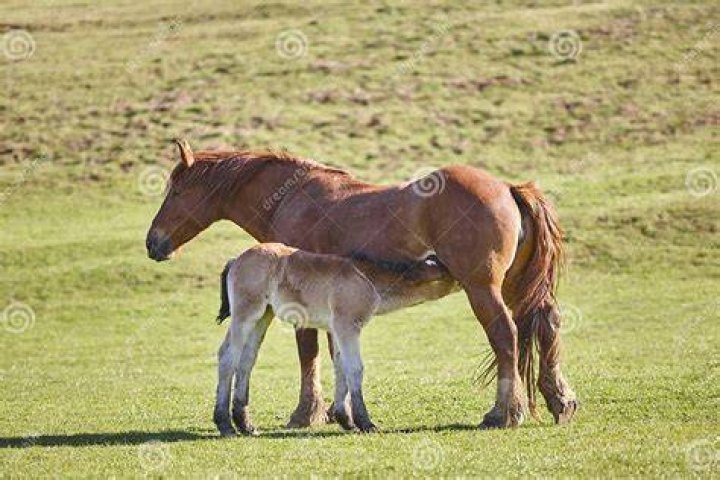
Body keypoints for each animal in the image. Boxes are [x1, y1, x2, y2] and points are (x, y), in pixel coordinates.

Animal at [213, 242, 458, 436]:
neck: (368, 278)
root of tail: (237, 259)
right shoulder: (347, 327)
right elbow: (355, 369)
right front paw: (365, 423)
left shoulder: (340, 330)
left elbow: (340, 366)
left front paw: (346, 421)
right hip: (245, 314)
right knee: (227, 356)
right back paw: (225, 425)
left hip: (263, 316)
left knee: (247, 360)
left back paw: (246, 425)